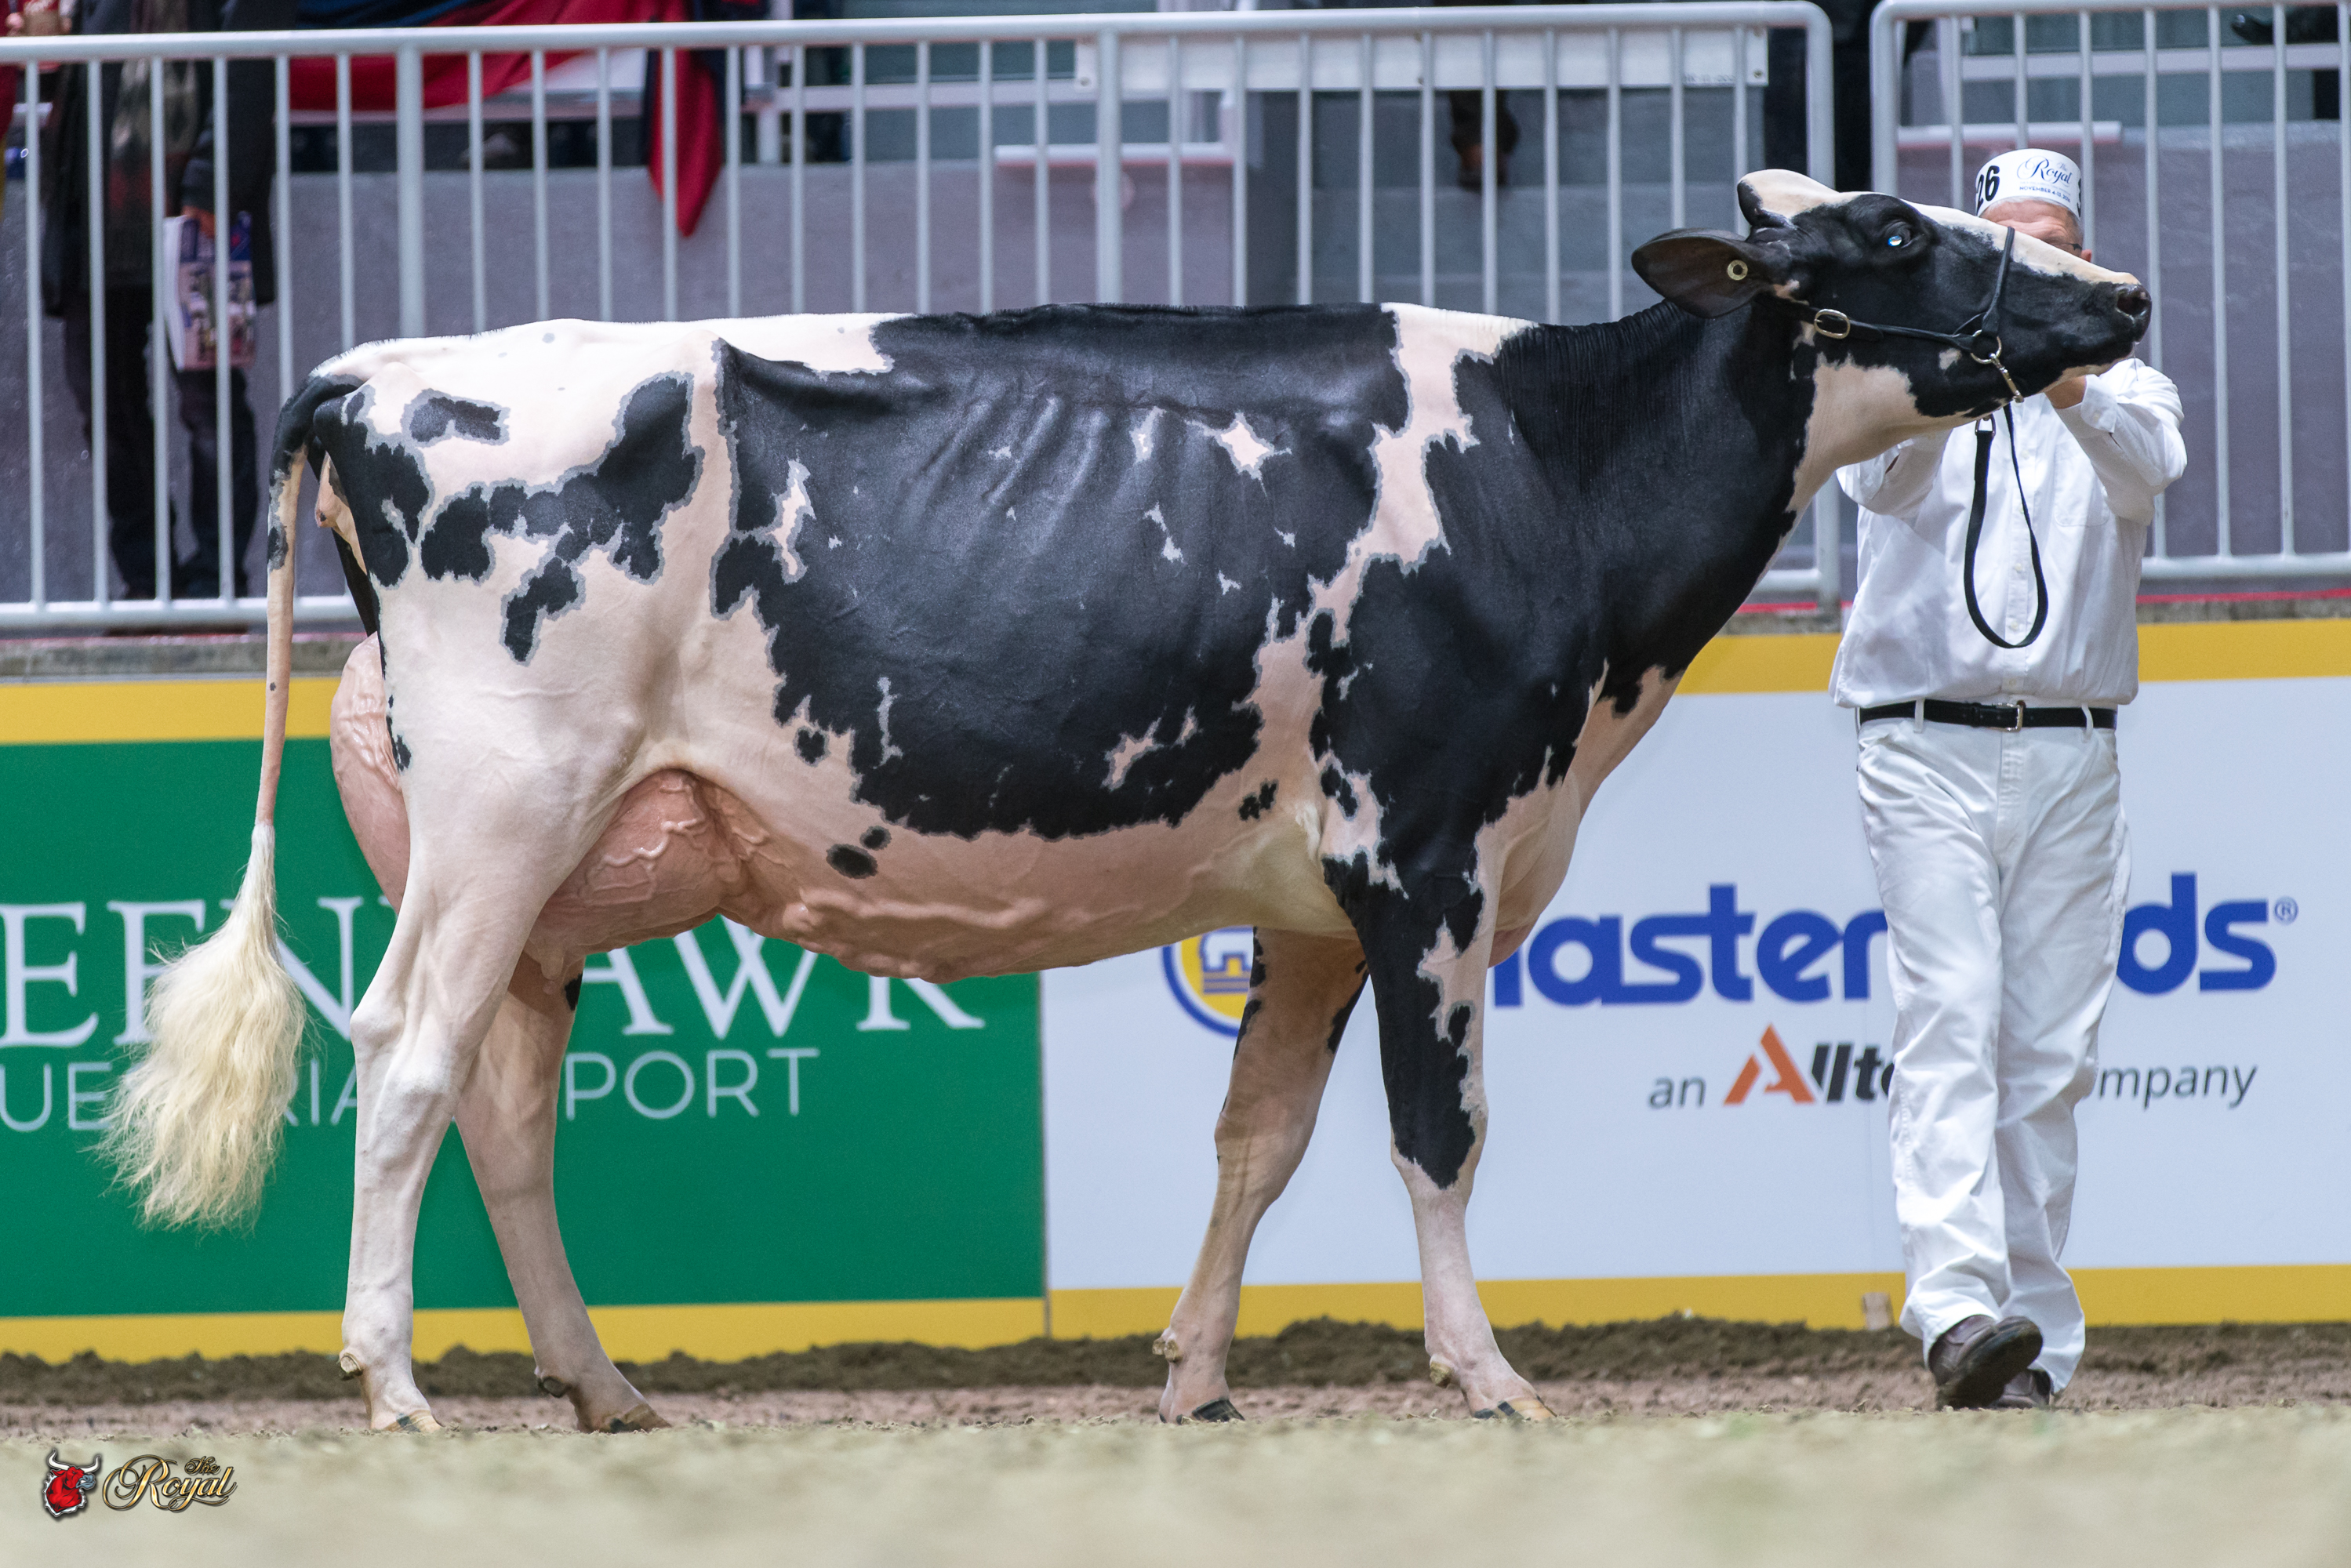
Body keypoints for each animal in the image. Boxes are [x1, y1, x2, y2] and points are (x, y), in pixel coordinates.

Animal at [105, 171, 2150, 1434]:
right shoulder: (1426, 853)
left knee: (509, 1098)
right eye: (1886, 229)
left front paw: (1190, 1371)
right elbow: (1438, 1133)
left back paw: (603, 1388)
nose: (2119, 287)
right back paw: (393, 1380)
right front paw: (1484, 1371)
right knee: (407, 1051)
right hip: (502, 807)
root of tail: (378, 373)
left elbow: (1258, 1137)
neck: (1550, 471)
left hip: (563, 864)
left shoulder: (1317, 901)